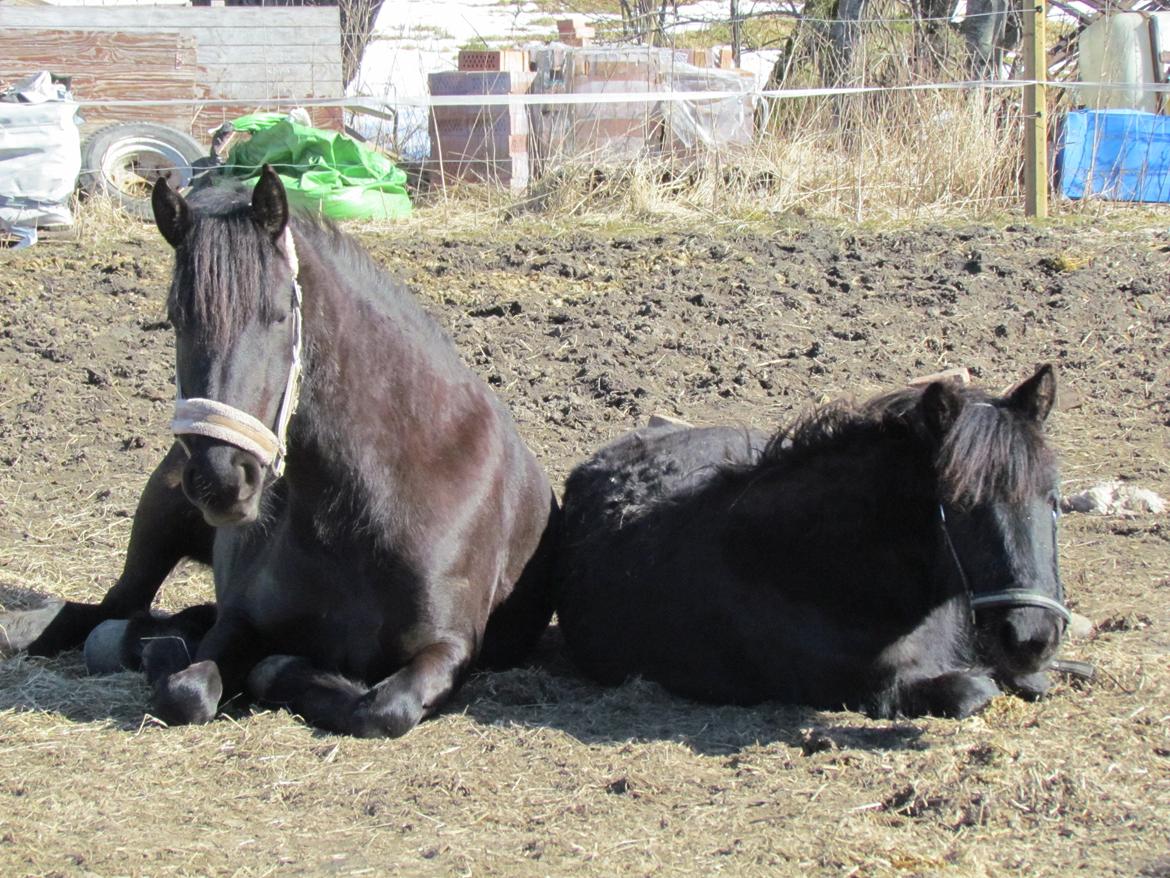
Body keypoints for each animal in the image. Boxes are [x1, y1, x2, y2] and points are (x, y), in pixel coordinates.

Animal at [1, 168, 556, 739]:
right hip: (156, 524)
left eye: (278, 313)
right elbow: (188, 691)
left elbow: (385, 708)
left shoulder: (449, 647)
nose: (223, 479)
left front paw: (275, 669)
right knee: (112, 608)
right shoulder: (241, 622)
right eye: (176, 318)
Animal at [554, 369, 1071, 721]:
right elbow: (973, 692)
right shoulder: (864, 686)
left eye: (1053, 498)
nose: (1031, 637)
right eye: (959, 504)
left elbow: (1032, 680)